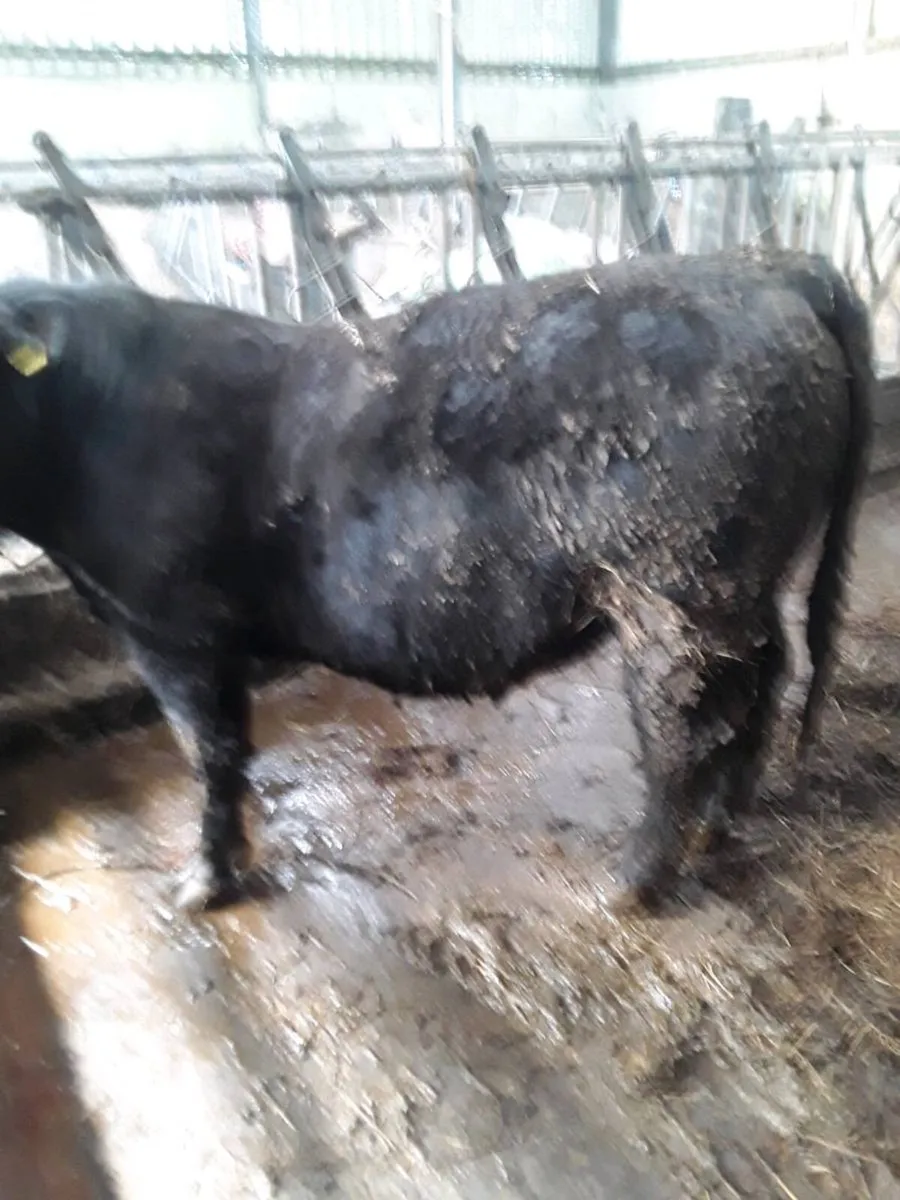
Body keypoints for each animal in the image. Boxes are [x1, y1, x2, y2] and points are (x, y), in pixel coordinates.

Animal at [0, 247, 872, 914]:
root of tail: (771, 266)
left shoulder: (167, 623)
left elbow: (206, 751)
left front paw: (198, 889)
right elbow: (226, 749)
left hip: (675, 586)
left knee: (683, 723)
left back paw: (627, 886)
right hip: (746, 579)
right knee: (768, 670)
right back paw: (726, 821)